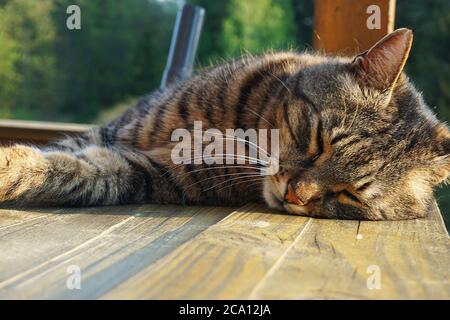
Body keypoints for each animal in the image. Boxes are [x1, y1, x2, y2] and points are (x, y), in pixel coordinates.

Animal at [0, 28, 448, 220]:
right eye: (318, 141)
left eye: (350, 194)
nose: (295, 194)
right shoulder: (118, 129)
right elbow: (61, 154)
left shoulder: (150, 170)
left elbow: (77, 172)